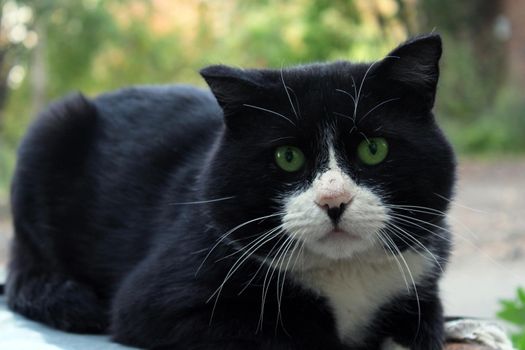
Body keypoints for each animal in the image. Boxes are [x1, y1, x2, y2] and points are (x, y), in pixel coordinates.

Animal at [5, 33, 454, 350]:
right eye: (287, 156)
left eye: (373, 149)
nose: (333, 200)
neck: (346, 274)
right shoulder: (158, 304)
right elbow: (288, 337)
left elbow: (425, 323)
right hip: (51, 128)